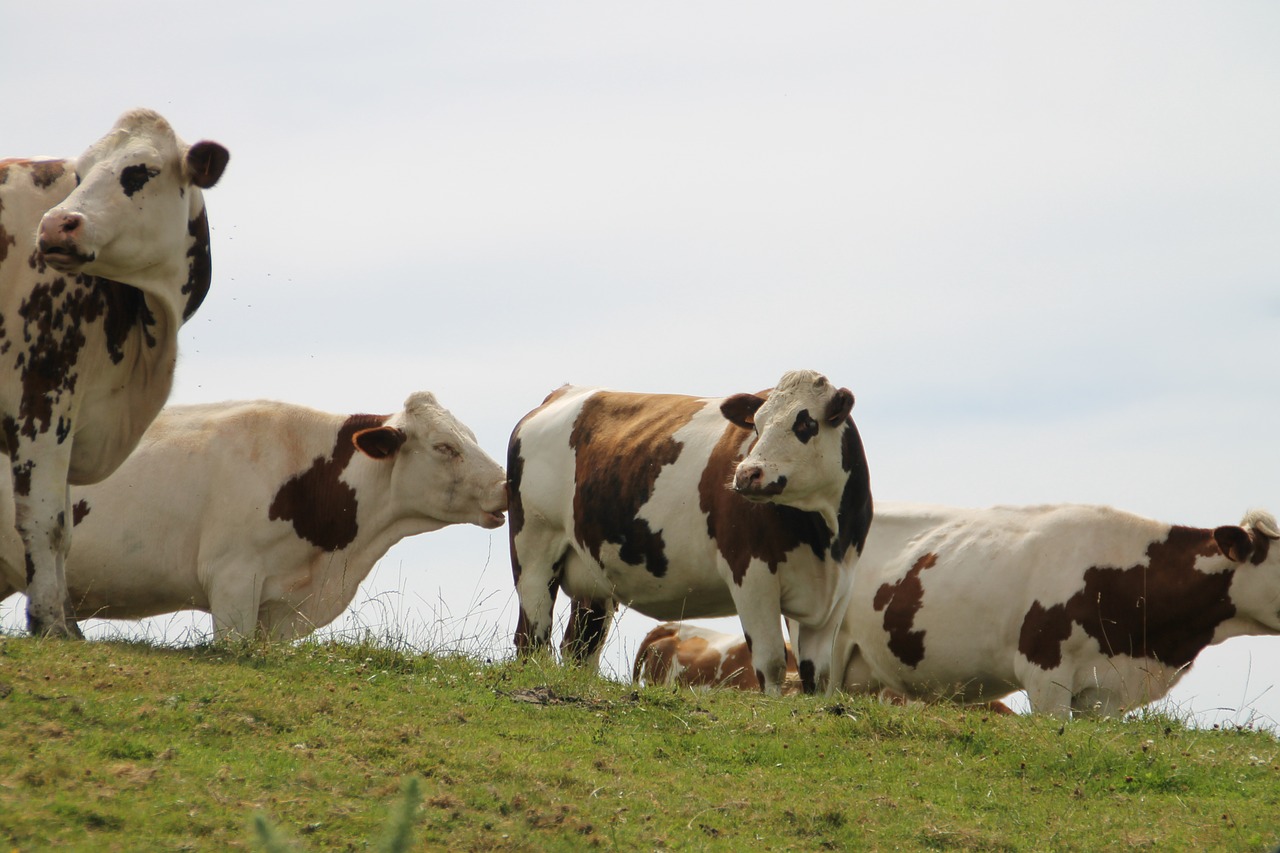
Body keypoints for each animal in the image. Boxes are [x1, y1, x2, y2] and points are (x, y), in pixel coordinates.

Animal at [0, 109, 227, 635]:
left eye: (141, 171)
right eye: (79, 175)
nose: (56, 225)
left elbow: (65, 528)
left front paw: (64, 623)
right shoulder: (41, 396)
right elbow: (44, 520)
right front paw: (51, 624)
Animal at [504, 368, 875, 696]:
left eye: (805, 423)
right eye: (757, 424)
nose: (747, 474)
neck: (823, 536)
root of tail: (562, 393)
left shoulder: (837, 588)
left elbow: (819, 674)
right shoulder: (751, 575)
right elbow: (771, 664)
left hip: (592, 582)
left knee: (579, 650)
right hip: (534, 553)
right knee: (531, 637)